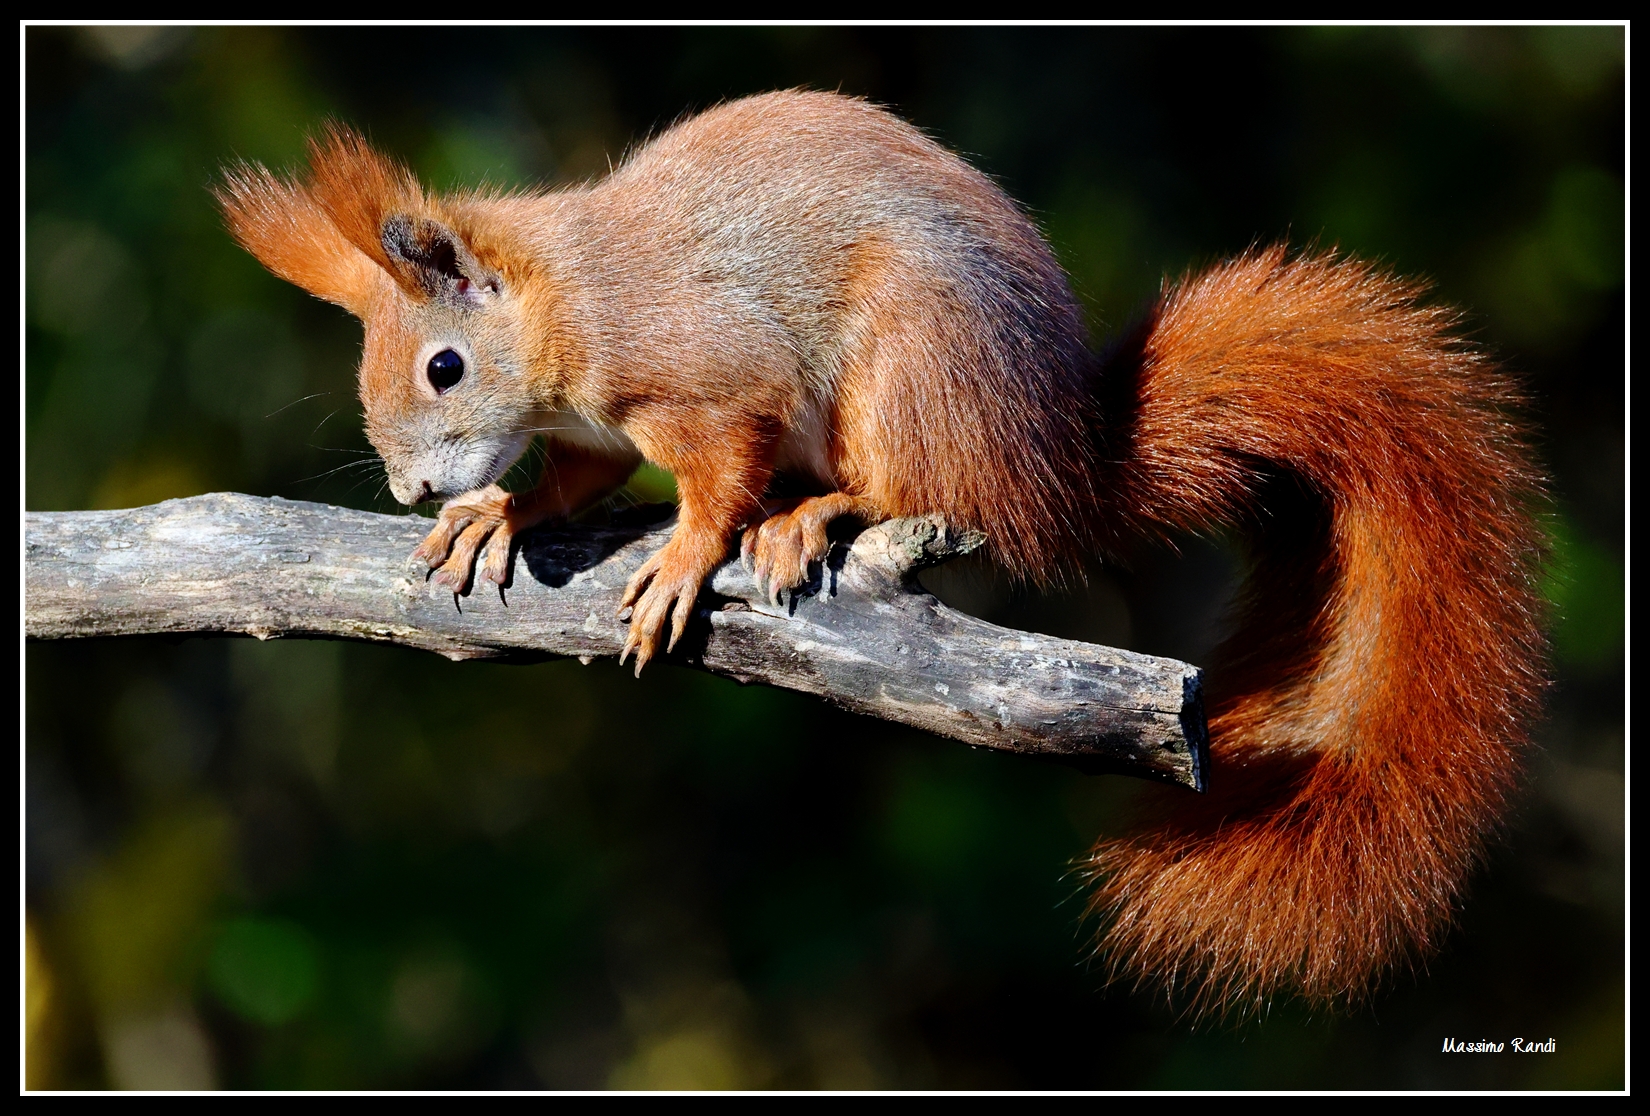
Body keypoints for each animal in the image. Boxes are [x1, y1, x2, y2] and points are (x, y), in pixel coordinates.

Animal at [217, 90, 1547, 1016]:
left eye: (444, 366)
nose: (410, 486)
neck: (574, 305)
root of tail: (1058, 463)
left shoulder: (705, 375)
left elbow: (719, 470)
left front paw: (683, 556)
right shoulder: (594, 435)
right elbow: (576, 485)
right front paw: (495, 515)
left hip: (904, 367)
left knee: (922, 489)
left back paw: (816, 513)